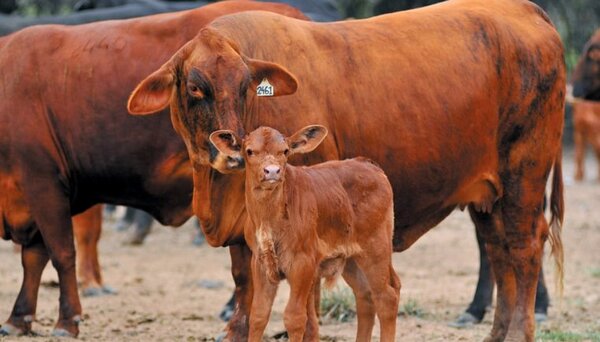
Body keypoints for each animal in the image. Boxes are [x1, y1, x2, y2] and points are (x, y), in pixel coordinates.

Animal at [0, 0, 310, 336]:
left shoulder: (44, 182)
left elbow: (61, 253)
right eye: (195, 89)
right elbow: (34, 258)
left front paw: (67, 320)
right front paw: (19, 318)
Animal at [209, 125, 400, 342]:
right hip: (351, 258)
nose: (272, 171)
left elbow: (296, 317)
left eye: (285, 151)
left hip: (376, 249)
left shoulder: (303, 263)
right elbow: (258, 314)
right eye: (249, 151)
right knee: (365, 296)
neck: (269, 218)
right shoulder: (260, 262)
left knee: (386, 297)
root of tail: (368, 164)